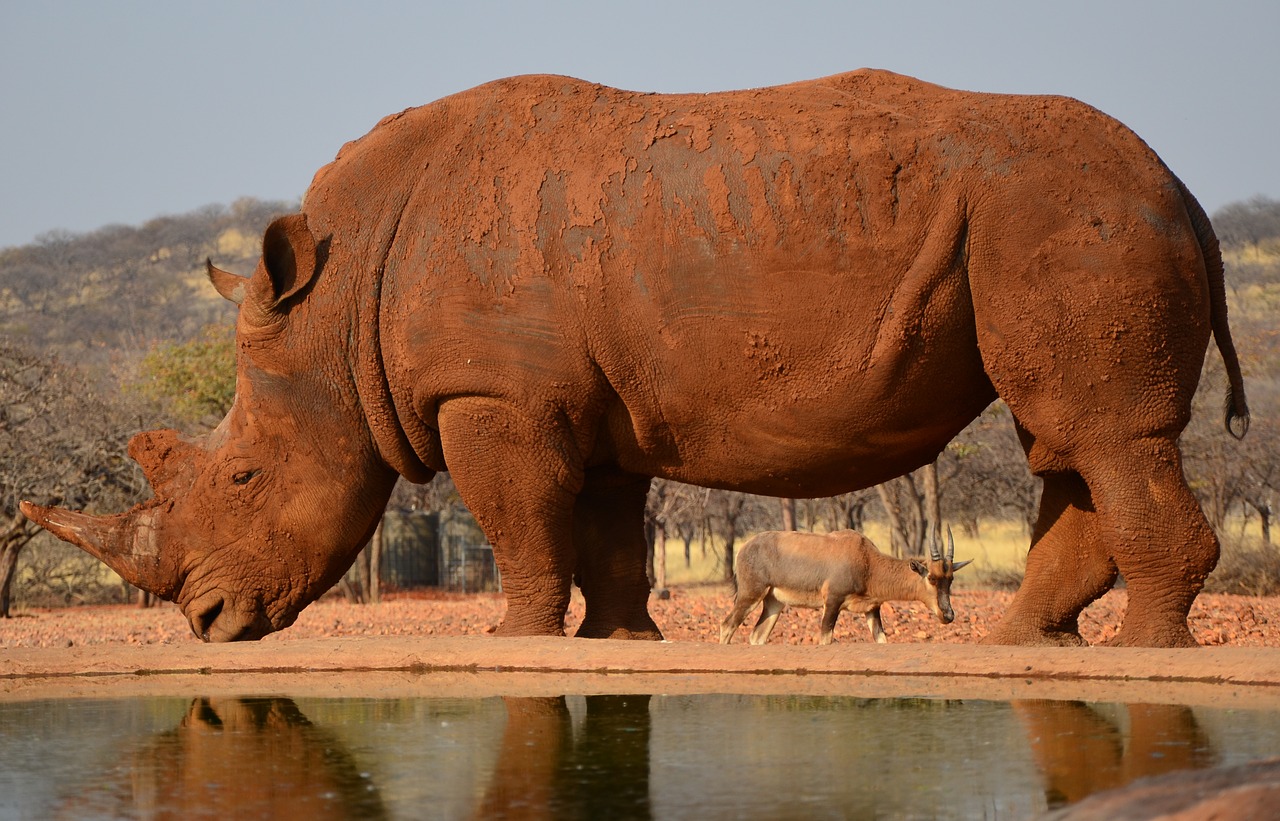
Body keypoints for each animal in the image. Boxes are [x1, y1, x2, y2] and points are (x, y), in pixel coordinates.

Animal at [23, 69, 1246, 646]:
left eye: (241, 476)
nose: (208, 625)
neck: (337, 296)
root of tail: (1186, 191)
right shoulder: (579, 404)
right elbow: (606, 527)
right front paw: (621, 636)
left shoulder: (493, 391)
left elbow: (520, 520)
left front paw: (511, 636)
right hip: (1052, 225)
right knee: (1067, 440)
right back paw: (1021, 640)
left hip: (1072, 220)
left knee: (1105, 434)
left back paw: (1140, 650)